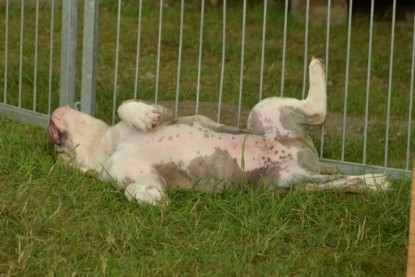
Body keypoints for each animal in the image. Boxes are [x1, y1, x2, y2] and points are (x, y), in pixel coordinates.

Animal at [48, 57, 390, 204]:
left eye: (56, 151)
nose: (49, 132)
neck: (108, 149)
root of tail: (307, 156)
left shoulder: (168, 113)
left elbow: (126, 105)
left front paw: (144, 117)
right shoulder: (144, 178)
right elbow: (138, 191)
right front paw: (149, 197)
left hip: (265, 109)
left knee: (317, 113)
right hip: (286, 180)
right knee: (336, 179)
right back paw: (376, 183)